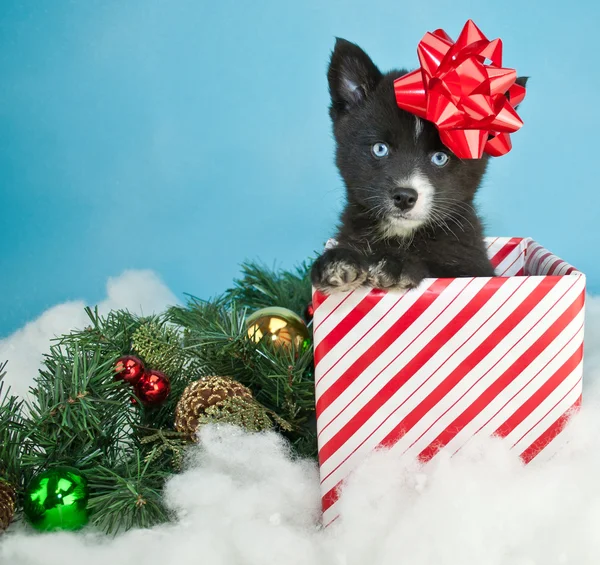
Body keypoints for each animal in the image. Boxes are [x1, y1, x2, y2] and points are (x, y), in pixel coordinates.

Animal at [312, 38, 528, 296]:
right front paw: (336, 262)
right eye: (380, 148)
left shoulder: (472, 264)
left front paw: (397, 265)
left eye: (440, 157)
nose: (404, 197)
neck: (400, 234)